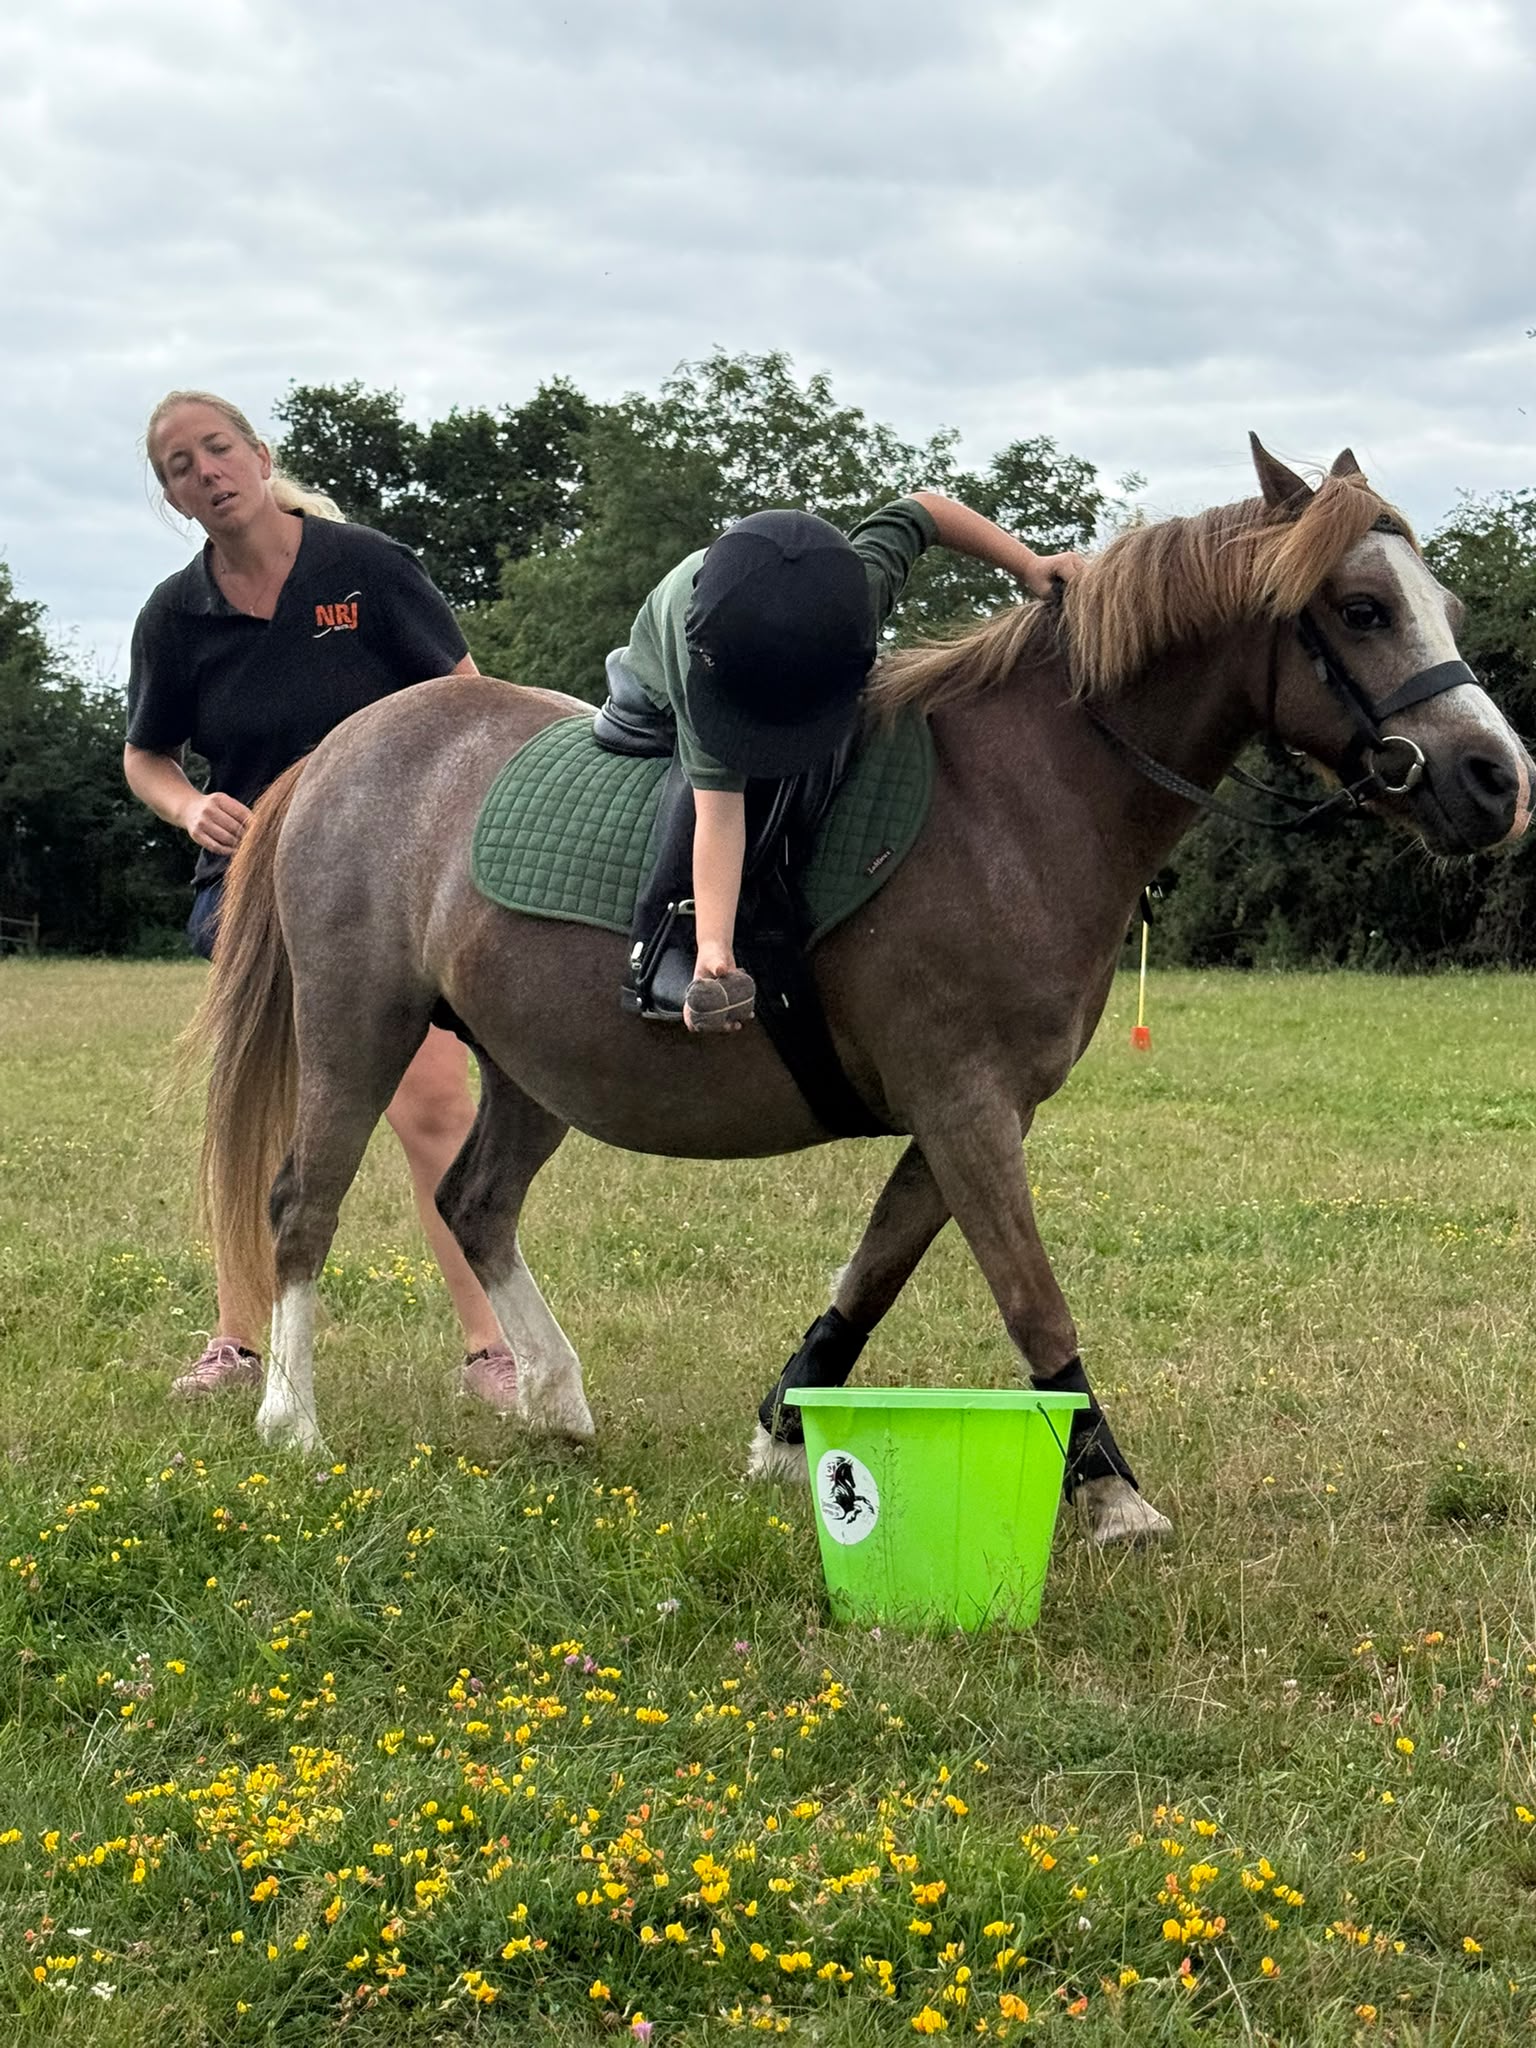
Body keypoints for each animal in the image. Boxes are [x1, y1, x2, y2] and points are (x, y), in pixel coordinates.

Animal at [194, 438, 1531, 1546]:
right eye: (1361, 609)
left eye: (1447, 608)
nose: (1498, 779)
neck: (1021, 800)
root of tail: (341, 749)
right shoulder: (964, 1106)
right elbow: (1033, 1301)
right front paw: (1108, 1487)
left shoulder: (968, 1115)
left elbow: (872, 1273)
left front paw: (786, 1428)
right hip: (359, 1027)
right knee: (304, 1203)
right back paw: (291, 1421)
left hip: (531, 1064)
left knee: (475, 1203)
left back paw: (556, 1397)